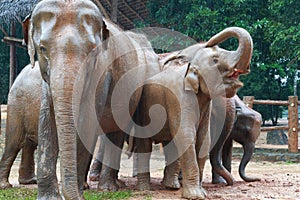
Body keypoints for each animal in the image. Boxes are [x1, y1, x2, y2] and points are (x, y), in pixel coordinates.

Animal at [24, 0, 159, 199]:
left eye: (92, 51)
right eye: (42, 49)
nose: (75, 195)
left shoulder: (102, 74)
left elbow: (86, 122)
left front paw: (78, 194)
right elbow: (47, 119)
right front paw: (49, 197)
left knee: (115, 131)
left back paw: (108, 188)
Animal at [134, 27, 253, 199]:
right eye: (215, 60)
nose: (209, 41)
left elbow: (204, 138)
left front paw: (201, 192)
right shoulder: (178, 96)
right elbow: (186, 135)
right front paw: (195, 195)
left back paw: (171, 186)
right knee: (144, 144)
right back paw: (145, 189)